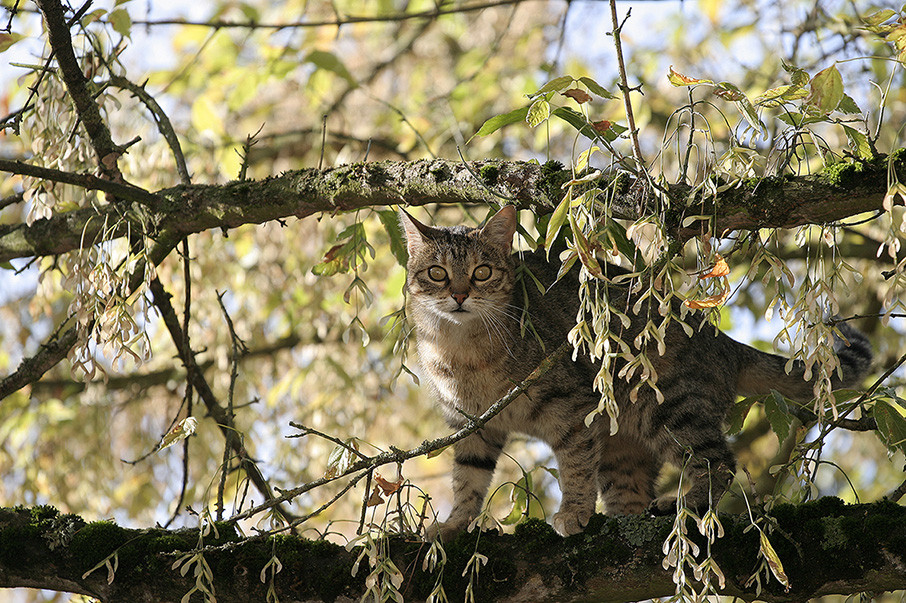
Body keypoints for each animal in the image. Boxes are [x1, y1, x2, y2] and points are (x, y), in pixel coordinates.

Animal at [398, 204, 868, 536]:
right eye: (437, 273)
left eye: (481, 272)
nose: (459, 295)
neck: (462, 351)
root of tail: (720, 339)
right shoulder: (472, 427)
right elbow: (468, 481)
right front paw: (455, 525)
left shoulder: (573, 409)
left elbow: (575, 467)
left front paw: (573, 511)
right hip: (624, 449)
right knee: (634, 494)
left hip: (672, 411)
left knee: (719, 461)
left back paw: (687, 503)